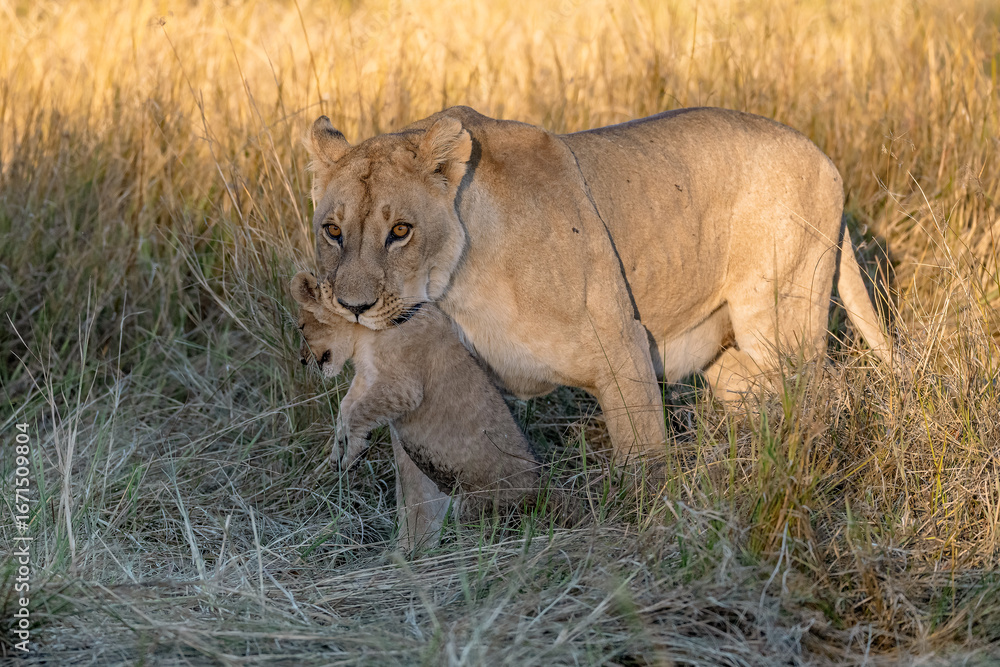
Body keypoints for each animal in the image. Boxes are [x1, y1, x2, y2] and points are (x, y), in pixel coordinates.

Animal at [290, 271, 542, 550]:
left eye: (301, 327)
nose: (302, 360)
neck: (362, 339)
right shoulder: (366, 379)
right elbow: (345, 410)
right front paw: (339, 450)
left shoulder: (404, 388)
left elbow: (358, 413)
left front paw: (353, 452)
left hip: (478, 504)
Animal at [303, 106, 894, 460]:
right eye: (332, 231)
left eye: (400, 231)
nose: (353, 307)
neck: (455, 288)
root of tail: (822, 155)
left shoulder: (621, 345)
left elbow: (645, 466)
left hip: (781, 319)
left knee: (816, 392)